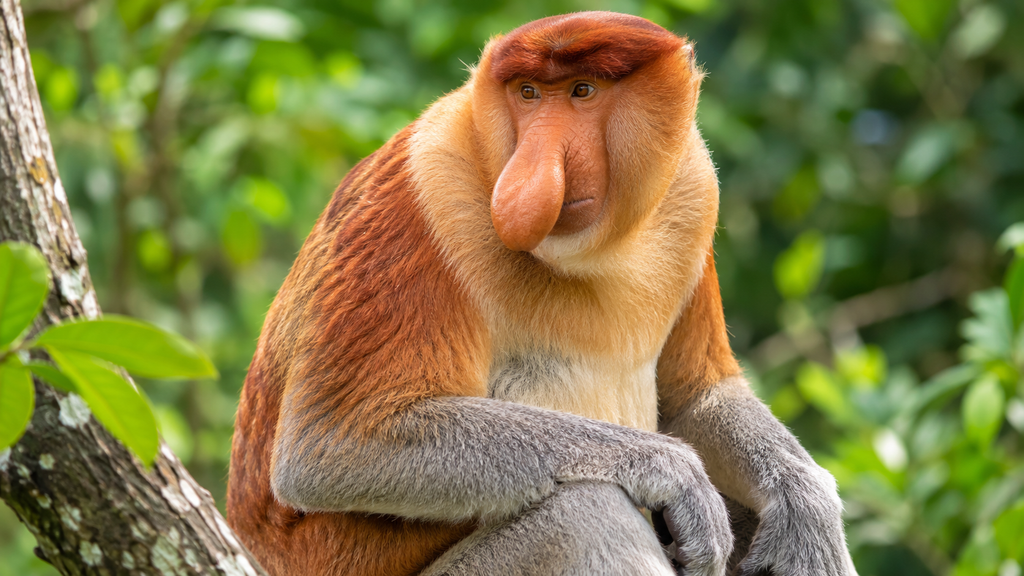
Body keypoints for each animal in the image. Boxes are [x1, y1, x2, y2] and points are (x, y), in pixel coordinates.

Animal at [226, 11, 857, 576]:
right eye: (528, 94)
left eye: (582, 91)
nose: (530, 174)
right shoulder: (420, 191)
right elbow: (335, 442)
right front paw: (674, 473)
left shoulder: (695, 185)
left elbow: (695, 395)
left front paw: (807, 507)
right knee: (584, 515)